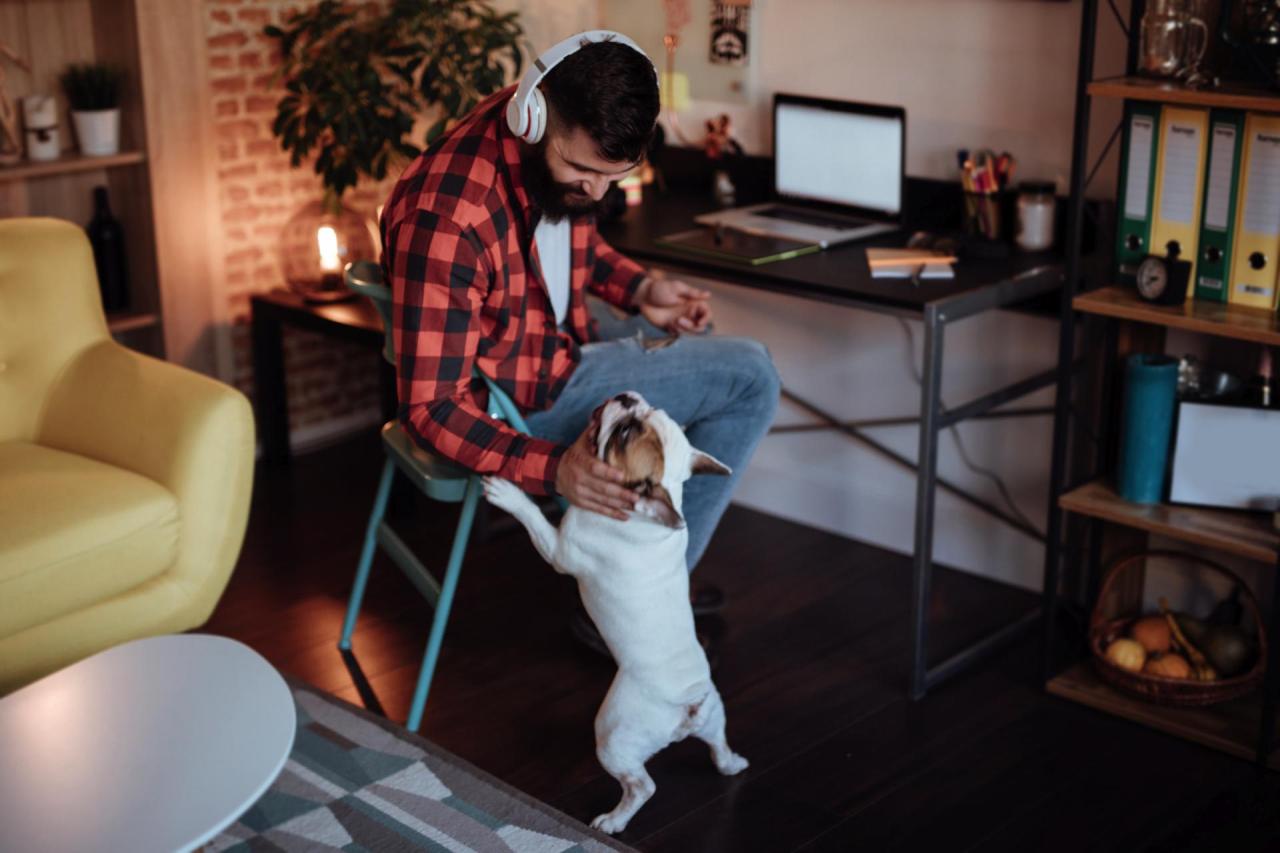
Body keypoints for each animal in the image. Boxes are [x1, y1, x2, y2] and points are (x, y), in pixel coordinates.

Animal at [481, 389, 747, 829]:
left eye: (624, 435)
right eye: (646, 412)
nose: (627, 398)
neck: (645, 513)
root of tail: (687, 706)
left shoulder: (559, 550)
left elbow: (534, 518)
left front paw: (510, 494)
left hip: (613, 736)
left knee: (642, 786)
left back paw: (613, 821)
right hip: (714, 715)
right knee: (718, 745)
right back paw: (733, 763)